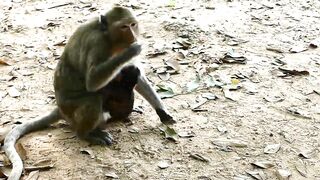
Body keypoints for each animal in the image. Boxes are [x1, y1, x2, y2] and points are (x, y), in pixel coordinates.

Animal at [3, 5, 175, 180]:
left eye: (133, 25)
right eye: (124, 27)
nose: (133, 36)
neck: (110, 38)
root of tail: (60, 108)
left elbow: (138, 74)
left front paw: (162, 112)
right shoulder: (97, 43)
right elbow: (93, 81)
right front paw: (130, 52)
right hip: (71, 109)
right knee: (93, 98)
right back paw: (86, 134)